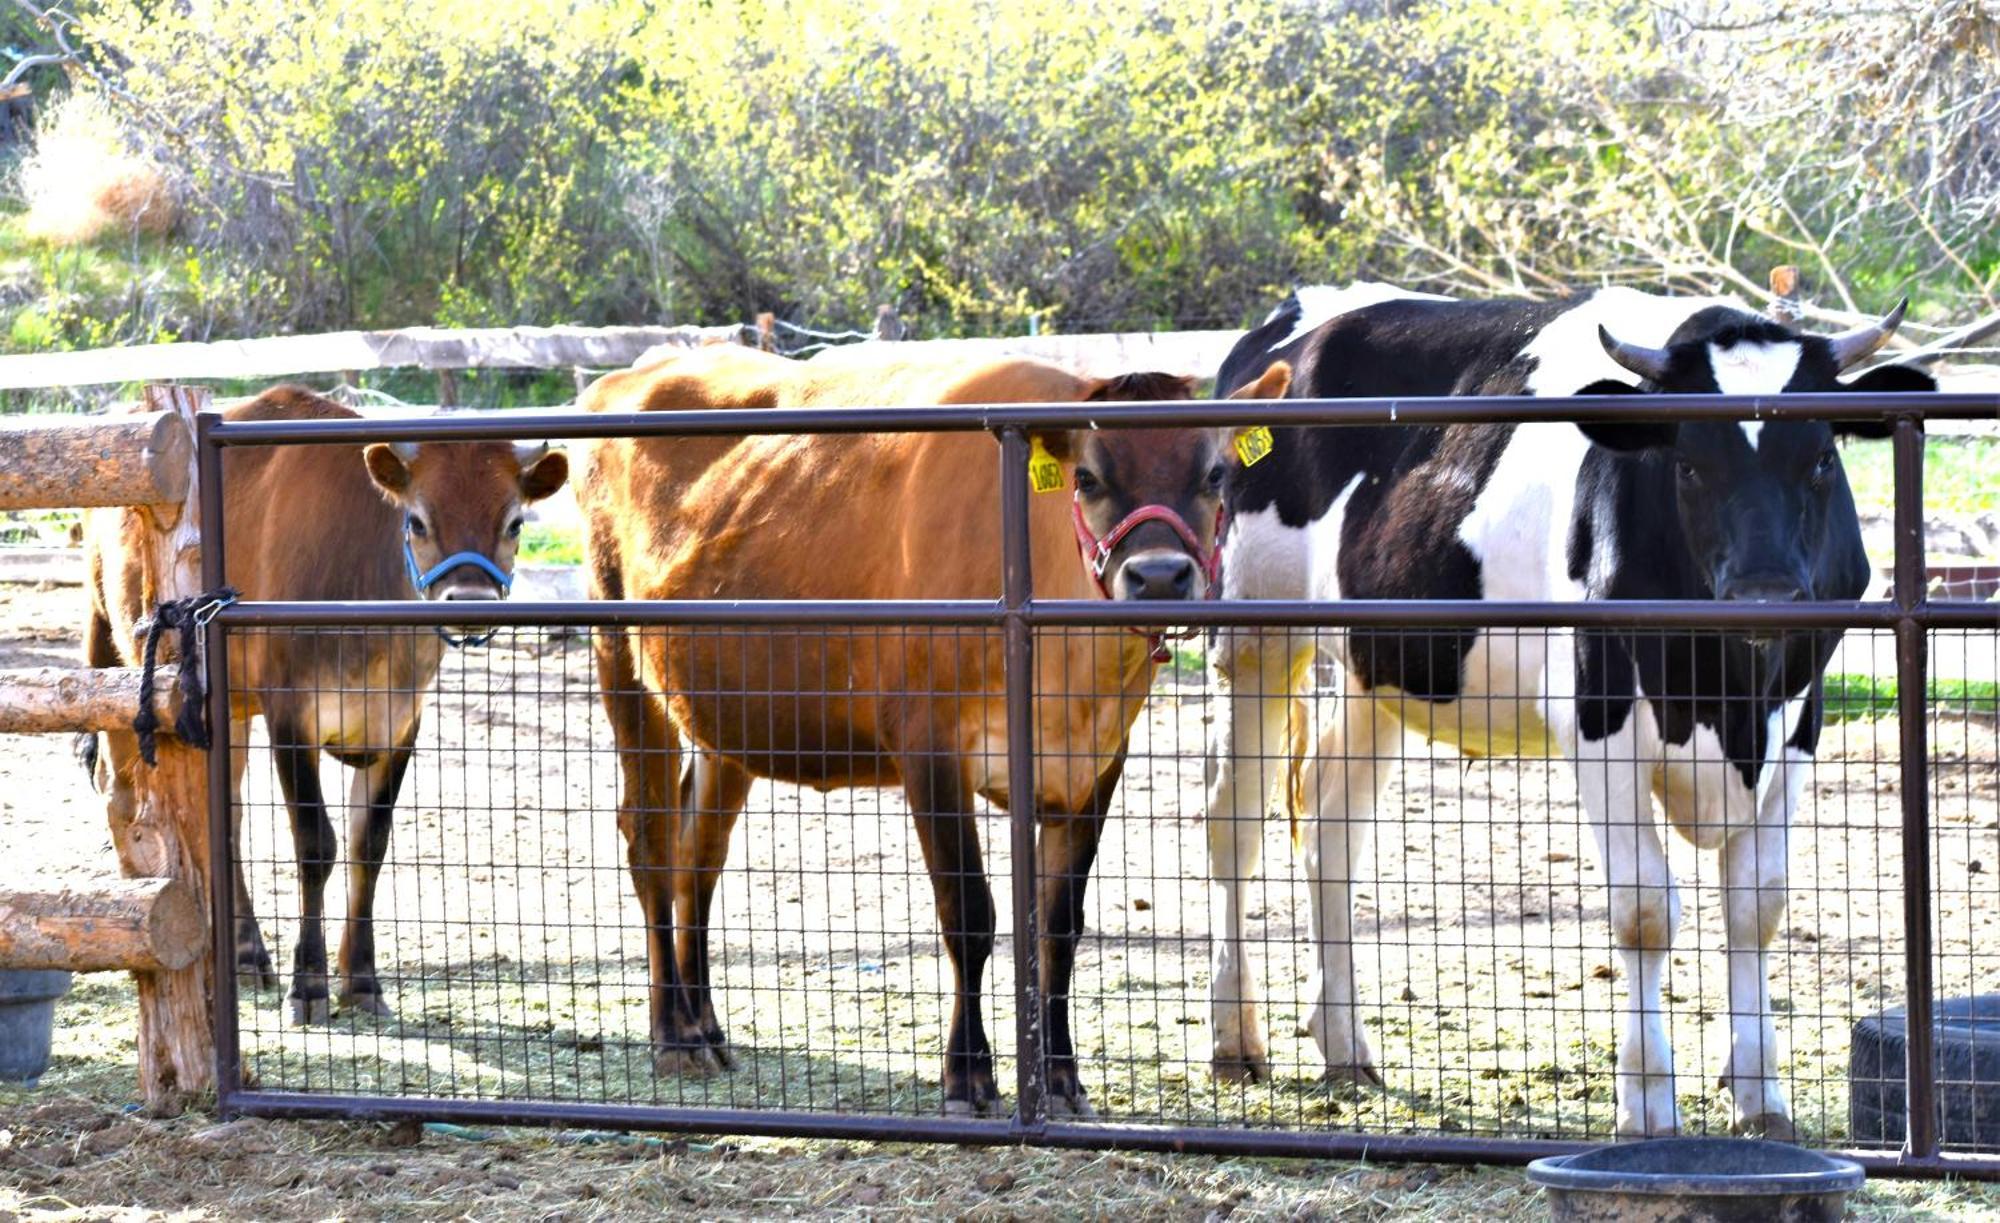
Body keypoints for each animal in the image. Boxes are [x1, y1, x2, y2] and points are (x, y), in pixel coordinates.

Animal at [85, 381, 568, 1023]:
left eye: (514, 523)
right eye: (417, 520)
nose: (470, 600)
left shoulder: (402, 724)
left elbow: (370, 845)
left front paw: (360, 979)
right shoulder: (291, 715)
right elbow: (316, 844)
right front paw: (309, 984)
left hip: (228, 707)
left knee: (228, 820)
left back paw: (246, 952)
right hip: (119, 655)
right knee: (123, 794)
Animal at [580, 343, 1296, 1119]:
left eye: (1216, 472)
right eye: (1087, 477)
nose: (1160, 576)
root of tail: (642, 366)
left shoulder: (1097, 764)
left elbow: (1059, 927)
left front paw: (1061, 1079)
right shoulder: (929, 749)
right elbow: (970, 915)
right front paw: (968, 1075)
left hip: (726, 713)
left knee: (699, 853)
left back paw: (707, 1024)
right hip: (619, 654)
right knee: (650, 840)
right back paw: (674, 1033)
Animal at [1200, 283, 1936, 1135]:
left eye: (1820, 458)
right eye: (1688, 462)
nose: (1768, 596)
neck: (1724, 692)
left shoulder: (1798, 720)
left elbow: (1758, 903)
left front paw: (1760, 1093)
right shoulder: (1598, 714)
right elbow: (1645, 908)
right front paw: (1647, 1100)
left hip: (1373, 667)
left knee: (1330, 823)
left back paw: (1346, 1043)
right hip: (1254, 633)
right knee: (1234, 824)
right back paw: (1235, 1037)